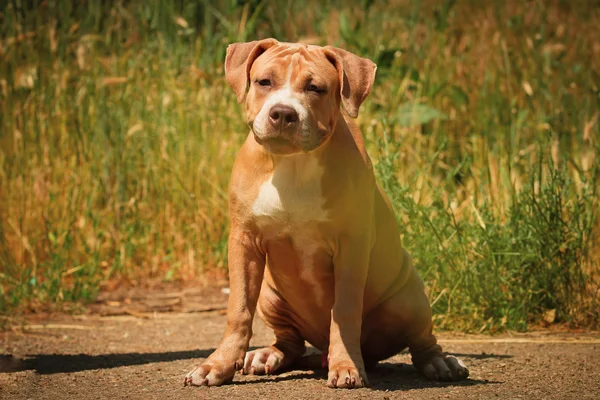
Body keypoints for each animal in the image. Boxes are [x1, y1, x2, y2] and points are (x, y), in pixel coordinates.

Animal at [183, 39, 468, 390]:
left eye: (315, 88)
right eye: (264, 82)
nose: (283, 113)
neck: (292, 162)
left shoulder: (351, 248)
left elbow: (343, 313)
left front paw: (346, 366)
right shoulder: (244, 241)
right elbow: (238, 310)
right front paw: (218, 365)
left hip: (410, 300)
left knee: (422, 340)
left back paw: (439, 362)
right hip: (270, 296)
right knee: (289, 340)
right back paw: (268, 355)